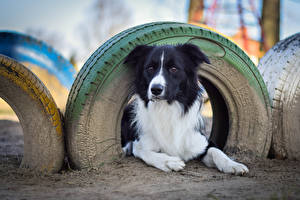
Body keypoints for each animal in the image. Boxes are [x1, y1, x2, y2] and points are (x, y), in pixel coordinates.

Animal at [121, 43, 248, 175]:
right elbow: (146, 152)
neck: (167, 108)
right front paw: (170, 161)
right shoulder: (140, 144)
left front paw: (233, 165)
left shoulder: (202, 142)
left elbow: (217, 151)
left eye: (173, 69)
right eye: (150, 68)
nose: (155, 89)